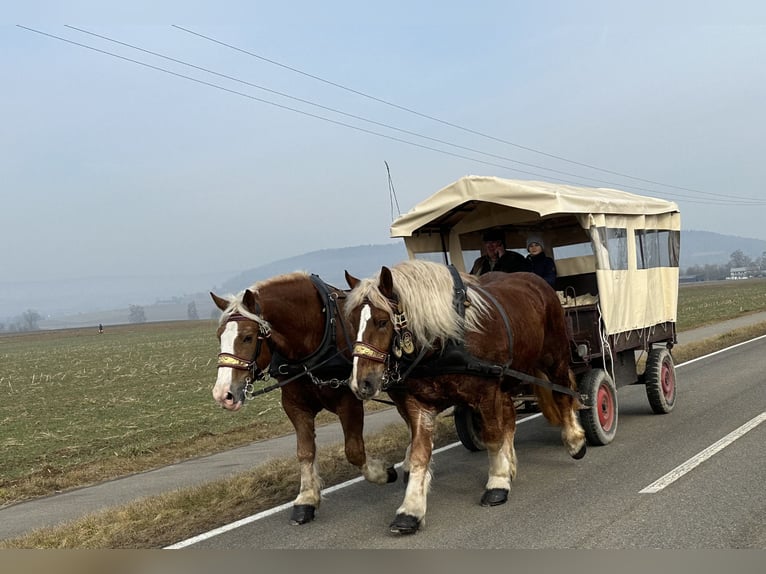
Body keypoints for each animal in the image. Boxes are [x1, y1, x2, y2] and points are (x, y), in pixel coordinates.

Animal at [213, 272, 400, 528]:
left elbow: (353, 450)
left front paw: (383, 472)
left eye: (248, 337)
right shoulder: (295, 405)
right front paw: (306, 498)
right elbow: (305, 451)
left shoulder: (349, 400)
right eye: (219, 336)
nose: (223, 394)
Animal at [344, 260, 584, 536]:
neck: (445, 341)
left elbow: (492, 437)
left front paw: (497, 483)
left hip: (554, 357)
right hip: (506, 380)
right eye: (351, 322)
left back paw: (574, 440)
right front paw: (410, 509)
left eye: (382, 321)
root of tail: (536, 282)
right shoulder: (419, 404)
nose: (361, 383)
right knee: (510, 417)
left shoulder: (486, 392)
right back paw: (510, 464)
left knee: (562, 394)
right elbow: (419, 453)